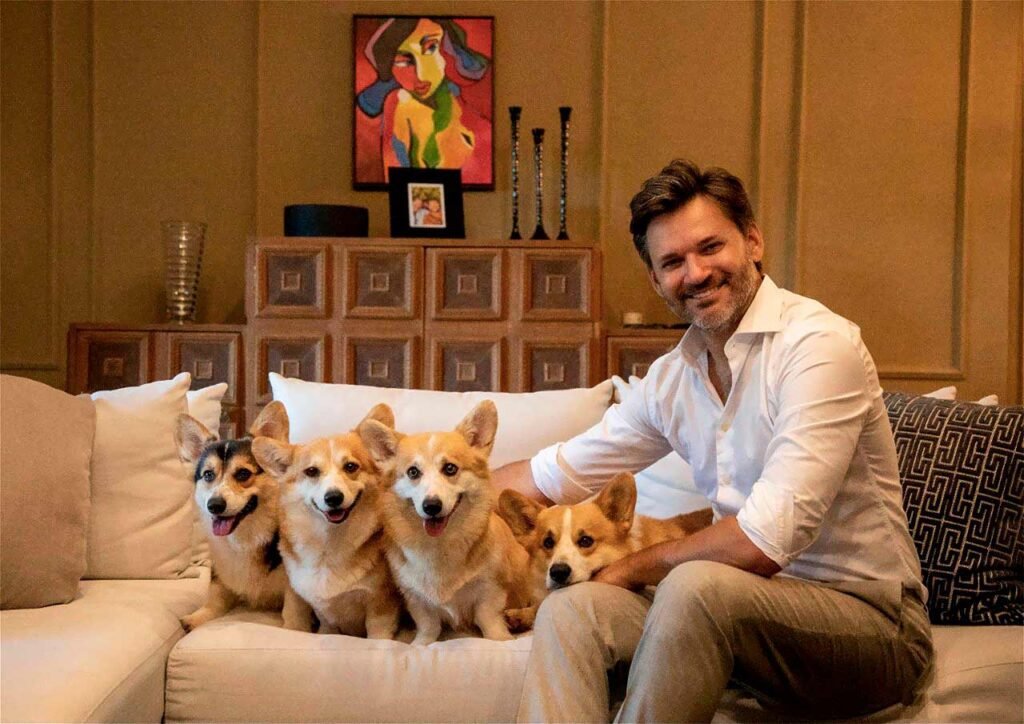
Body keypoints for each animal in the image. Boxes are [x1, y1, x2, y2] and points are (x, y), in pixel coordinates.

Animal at [174, 402, 312, 632]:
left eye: (243, 474)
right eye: (208, 475)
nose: (214, 505)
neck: (247, 537)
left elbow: (293, 608)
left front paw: (293, 628)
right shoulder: (222, 576)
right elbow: (215, 596)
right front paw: (197, 617)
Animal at [252, 404, 403, 639]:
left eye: (350, 467)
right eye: (311, 471)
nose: (333, 498)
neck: (328, 543)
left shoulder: (380, 606)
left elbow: (378, 634)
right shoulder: (320, 612)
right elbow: (322, 626)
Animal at [359, 400, 532, 645]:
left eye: (450, 468)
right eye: (413, 472)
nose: (431, 506)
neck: (439, 546)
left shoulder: (490, 590)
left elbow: (489, 618)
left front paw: (500, 639)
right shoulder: (415, 597)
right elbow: (428, 625)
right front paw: (421, 644)